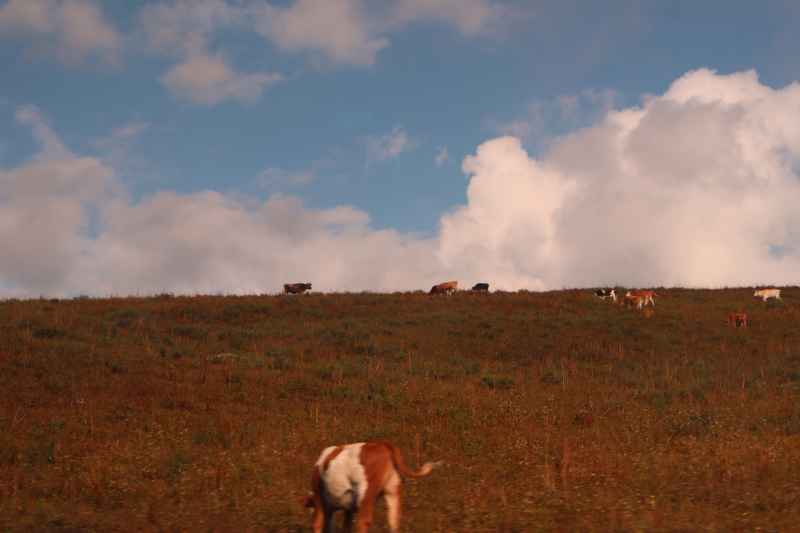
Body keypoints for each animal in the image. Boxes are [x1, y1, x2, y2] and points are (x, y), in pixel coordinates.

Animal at [306, 440, 444, 532]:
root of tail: (382, 444)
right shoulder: (347, 509)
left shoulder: (320, 501)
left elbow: (318, 524)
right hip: (392, 491)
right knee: (393, 521)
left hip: (366, 493)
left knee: (363, 521)